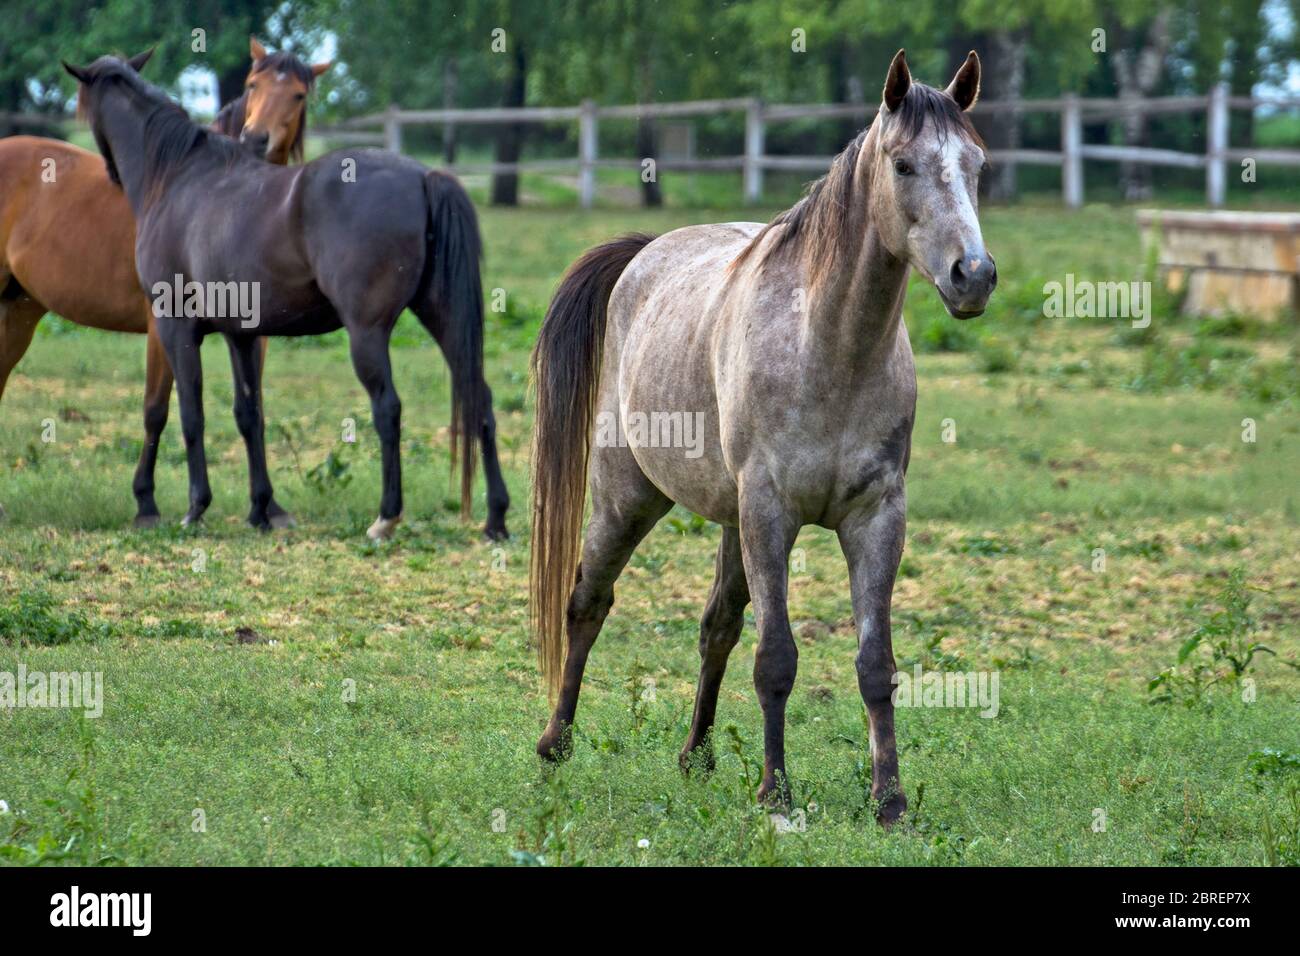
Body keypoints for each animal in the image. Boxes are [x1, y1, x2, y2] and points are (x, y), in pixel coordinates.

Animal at [0, 40, 326, 528]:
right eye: (253, 84)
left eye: (299, 95)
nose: (256, 139)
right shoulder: (163, 327)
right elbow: (158, 410)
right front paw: (148, 505)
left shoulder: (249, 333)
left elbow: (251, 409)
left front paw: (269, 508)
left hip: (17, 314)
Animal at [62, 53, 510, 541]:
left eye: (83, 106)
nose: (107, 172)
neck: (179, 177)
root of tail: (423, 177)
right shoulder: (240, 336)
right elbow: (249, 414)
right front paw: (260, 509)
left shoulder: (175, 327)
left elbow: (190, 414)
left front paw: (196, 507)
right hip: (443, 319)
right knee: (480, 399)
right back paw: (496, 518)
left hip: (367, 334)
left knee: (388, 408)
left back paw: (385, 517)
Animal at [529, 50, 996, 825]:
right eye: (903, 165)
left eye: (977, 164)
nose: (974, 276)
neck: (829, 348)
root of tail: (645, 256)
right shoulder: (771, 510)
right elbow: (776, 658)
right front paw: (776, 791)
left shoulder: (876, 517)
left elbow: (875, 665)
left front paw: (890, 800)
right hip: (629, 496)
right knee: (587, 603)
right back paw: (555, 744)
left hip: (729, 519)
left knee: (716, 626)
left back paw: (696, 756)